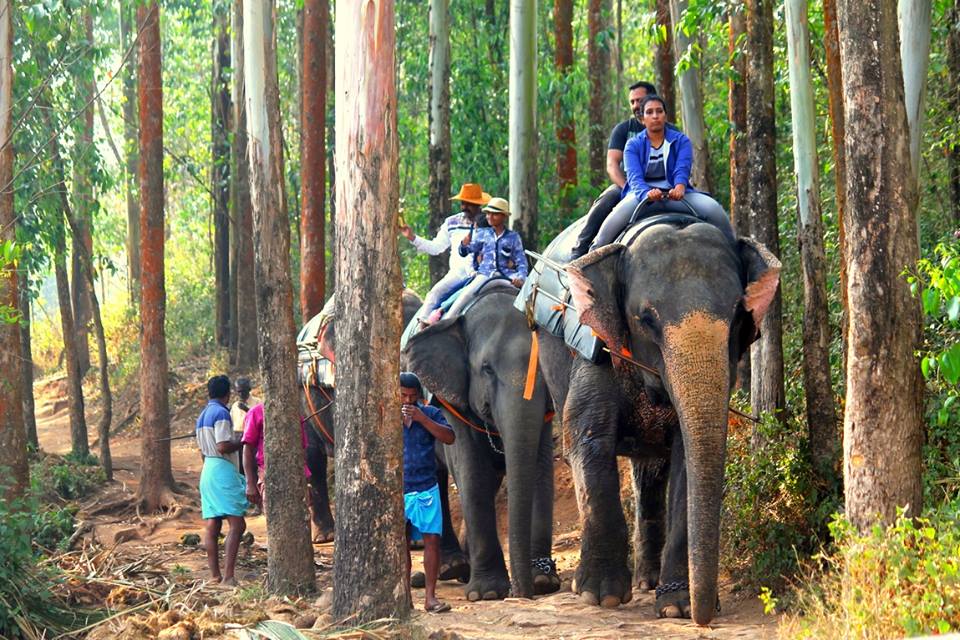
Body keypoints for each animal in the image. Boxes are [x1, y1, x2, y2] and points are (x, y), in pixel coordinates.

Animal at [402, 282, 561, 600]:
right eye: (486, 368)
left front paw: (543, 581)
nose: (521, 594)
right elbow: (471, 469)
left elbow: (540, 470)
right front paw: (488, 593)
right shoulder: (451, 399)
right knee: (436, 475)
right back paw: (453, 567)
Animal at [532, 216, 780, 624]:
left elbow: (686, 457)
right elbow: (587, 439)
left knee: (650, 473)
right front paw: (600, 596)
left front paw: (677, 606)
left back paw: (648, 582)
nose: (705, 616)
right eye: (646, 319)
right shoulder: (596, 348)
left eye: (736, 317)